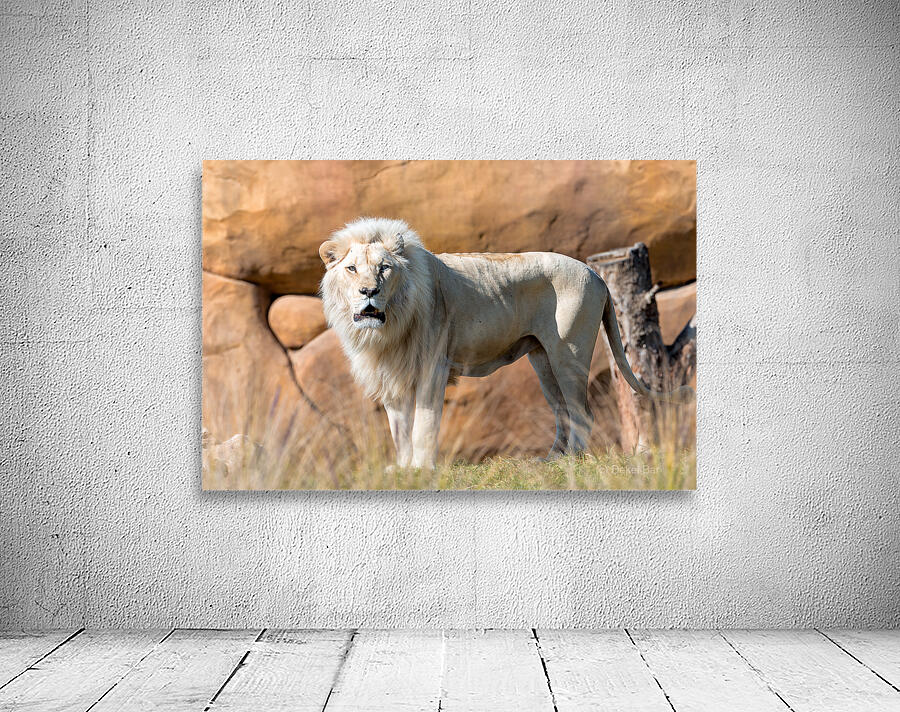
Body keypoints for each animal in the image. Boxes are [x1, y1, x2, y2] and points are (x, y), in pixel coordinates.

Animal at [319, 217, 685, 470]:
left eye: (384, 268)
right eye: (352, 269)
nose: (369, 292)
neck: (388, 328)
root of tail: (596, 274)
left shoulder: (433, 366)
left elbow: (423, 424)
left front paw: (422, 469)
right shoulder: (392, 373)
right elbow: (399, 428)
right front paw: (404, 469)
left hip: (569, 353)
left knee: (582, 411)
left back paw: (571, 460)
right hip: (542, 359)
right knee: (562, 411)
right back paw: (550, 460)